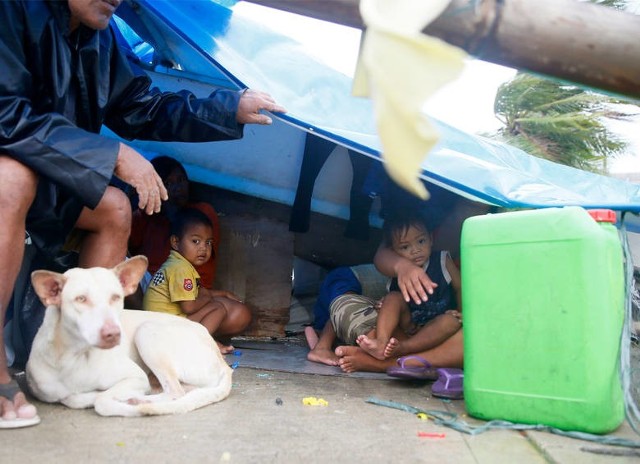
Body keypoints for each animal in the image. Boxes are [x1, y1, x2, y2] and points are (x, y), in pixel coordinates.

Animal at [27, 256, 234, 418]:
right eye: (81, 299)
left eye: (115, 297)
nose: (113, 334)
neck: (76, 356)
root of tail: (223, 362)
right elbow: (70, 397)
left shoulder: (136, 377)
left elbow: (100, 400)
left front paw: (111, 399)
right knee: (185, 390)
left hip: (147, 330)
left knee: (176, 392)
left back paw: (140, 401)